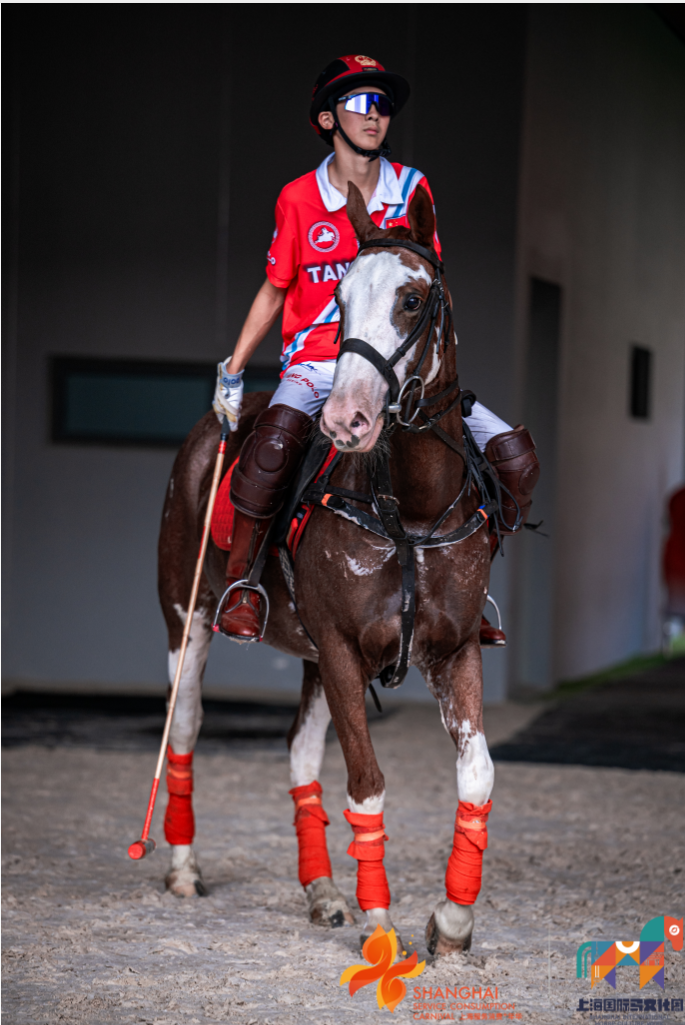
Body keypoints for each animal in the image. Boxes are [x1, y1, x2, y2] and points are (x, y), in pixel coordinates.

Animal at [157, 182, 498, 955]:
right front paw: (382, 925)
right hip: (187, 613)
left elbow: (476, 775)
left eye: (412, 298)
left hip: (310, 651)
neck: (412, 508)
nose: (345, 419)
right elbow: (367, 783)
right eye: (337, 298)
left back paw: (321, 891)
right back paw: (184, 869)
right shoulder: (344, 648)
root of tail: (211, 430)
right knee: (185, 725)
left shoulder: (454, 647)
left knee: (298, 751)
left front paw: (452, 921)